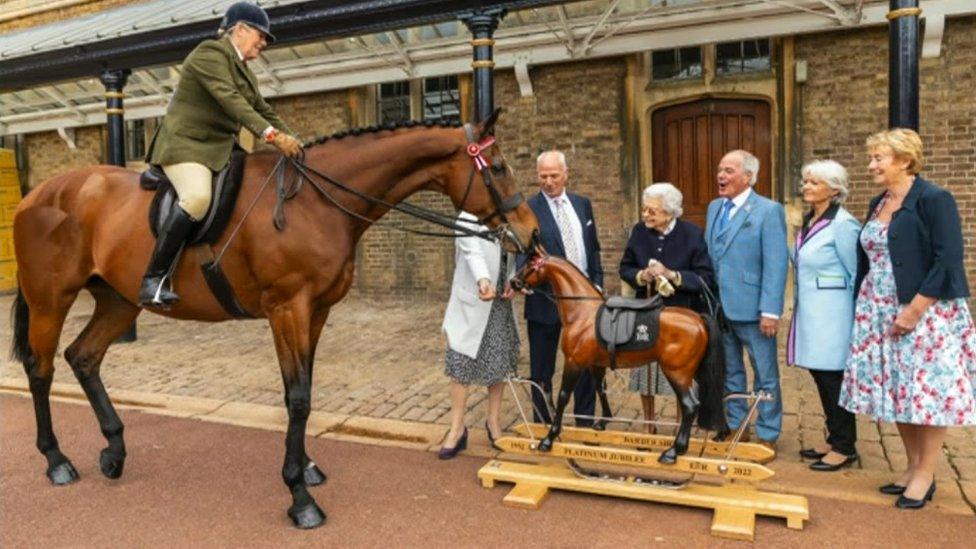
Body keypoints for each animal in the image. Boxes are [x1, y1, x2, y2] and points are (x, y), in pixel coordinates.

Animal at [5, 110, 532, 528]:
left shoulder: (315, 312)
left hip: (118, 301)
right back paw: (56, 459)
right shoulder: (287, 309)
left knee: (83, 357)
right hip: (51, 300)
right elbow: (297, 398)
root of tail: (38, 196)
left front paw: (307, 467)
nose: (528, 231)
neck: (314, 202)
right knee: (41, 370)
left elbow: (306, 391)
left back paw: (113, 450)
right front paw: (299, 497)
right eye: (498, 167)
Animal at [510, 252, 724, 462]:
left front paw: (549, 438)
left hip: (677, 373)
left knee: (689, 406)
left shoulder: (574, 363)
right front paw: (603, 421)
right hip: (694, 373)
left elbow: (563, 396)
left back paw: (674, 451)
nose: (513, 282)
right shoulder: (596, 364)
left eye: (530, 266)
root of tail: (699, 320)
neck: (583, 312)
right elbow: (600, 389)